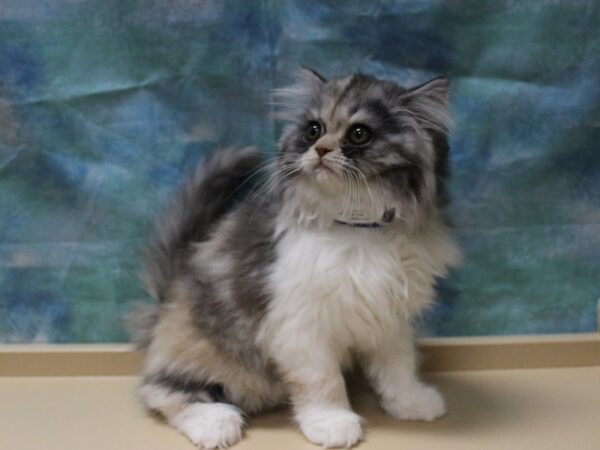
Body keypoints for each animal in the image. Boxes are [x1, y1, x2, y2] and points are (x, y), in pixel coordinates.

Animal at [129, 68, 462, 448]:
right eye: (313, 130)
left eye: (359, 133)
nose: (320, 149)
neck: (359, 228)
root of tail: (163, 302)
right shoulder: (300, 325)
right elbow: (323, 382)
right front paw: (332, 424)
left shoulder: (389, 316)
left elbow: (399, 367)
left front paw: (411, 402)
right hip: (206, 351)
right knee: (161, 390)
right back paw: (215, 422)